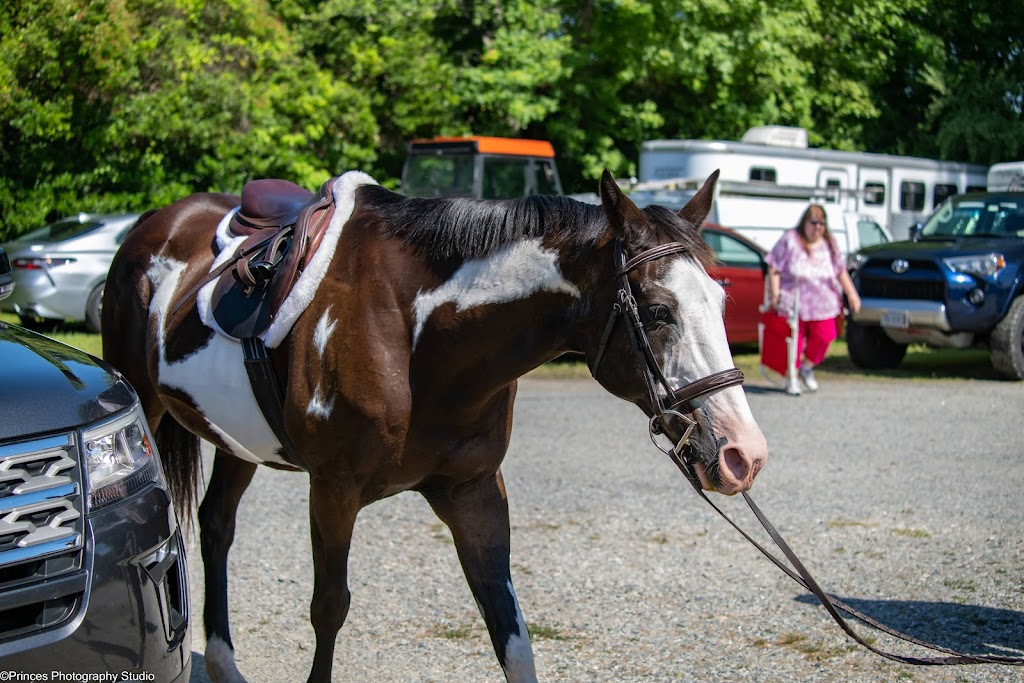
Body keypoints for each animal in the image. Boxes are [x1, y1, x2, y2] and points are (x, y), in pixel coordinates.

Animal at [101, 168, 768, 683]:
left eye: (721, 300)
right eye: (657, 311)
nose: (743, 453)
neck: (418, 333)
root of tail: (153, 223)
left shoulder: (473, 493)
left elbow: (508, 629)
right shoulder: (334, 489)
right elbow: (328, 608)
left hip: (239, 441)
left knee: (217, 526)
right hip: (150, 404)